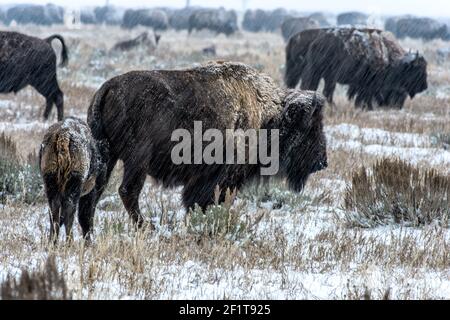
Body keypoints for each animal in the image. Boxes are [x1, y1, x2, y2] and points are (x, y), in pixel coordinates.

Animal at [80, 61, 326, 239]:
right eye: (310, 128)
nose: (323, 161)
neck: (269, 114)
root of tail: (108, 88)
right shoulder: (220, 177)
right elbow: (206, 201)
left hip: (107, 157)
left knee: (94, 193)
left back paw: (89, 235)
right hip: (136, 159)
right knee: (127, 191)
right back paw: (147, 228)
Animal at [284, 28, 428, 109]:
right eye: (418, 70)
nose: (424, 86)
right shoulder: (369, 84)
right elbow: (365, 96)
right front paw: (367, 107)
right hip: (324, 75)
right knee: (323, 90)